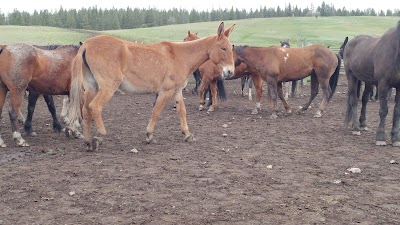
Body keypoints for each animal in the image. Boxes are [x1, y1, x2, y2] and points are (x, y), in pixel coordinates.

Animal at [65, 22, 234, 150]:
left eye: (231, 47)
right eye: (223, 48)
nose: (230, 72)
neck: (179, 55)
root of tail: (87, 44)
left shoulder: (177, 91)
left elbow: (182, 112)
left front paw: (187, 134)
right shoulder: (165, 92)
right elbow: (156, 112)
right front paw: (149, 135)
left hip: (91, 87)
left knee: (86, 110)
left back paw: (88, 141)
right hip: (107, 87)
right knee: (95, 107)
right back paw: (99, 136)